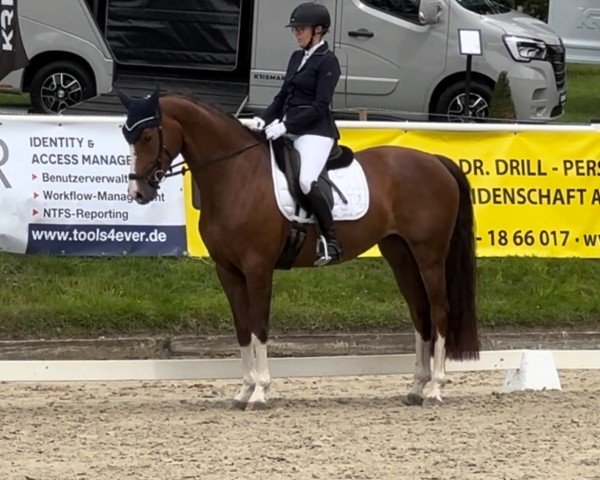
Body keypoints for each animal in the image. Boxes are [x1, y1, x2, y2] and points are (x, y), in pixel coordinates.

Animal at [119, 89, 480, 408]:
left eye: (147, 136)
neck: (236, 175)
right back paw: (416, 387)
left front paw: (260, 392)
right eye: (128, 136)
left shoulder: (258, 268)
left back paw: (436, 388)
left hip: (429, 253)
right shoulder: (228, 271)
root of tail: (435, 160)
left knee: (440, 310)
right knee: (420, 312)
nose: (138, 193)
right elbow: (242, 329)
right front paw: (243, 391)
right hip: (400, 253)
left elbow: (259, 326)